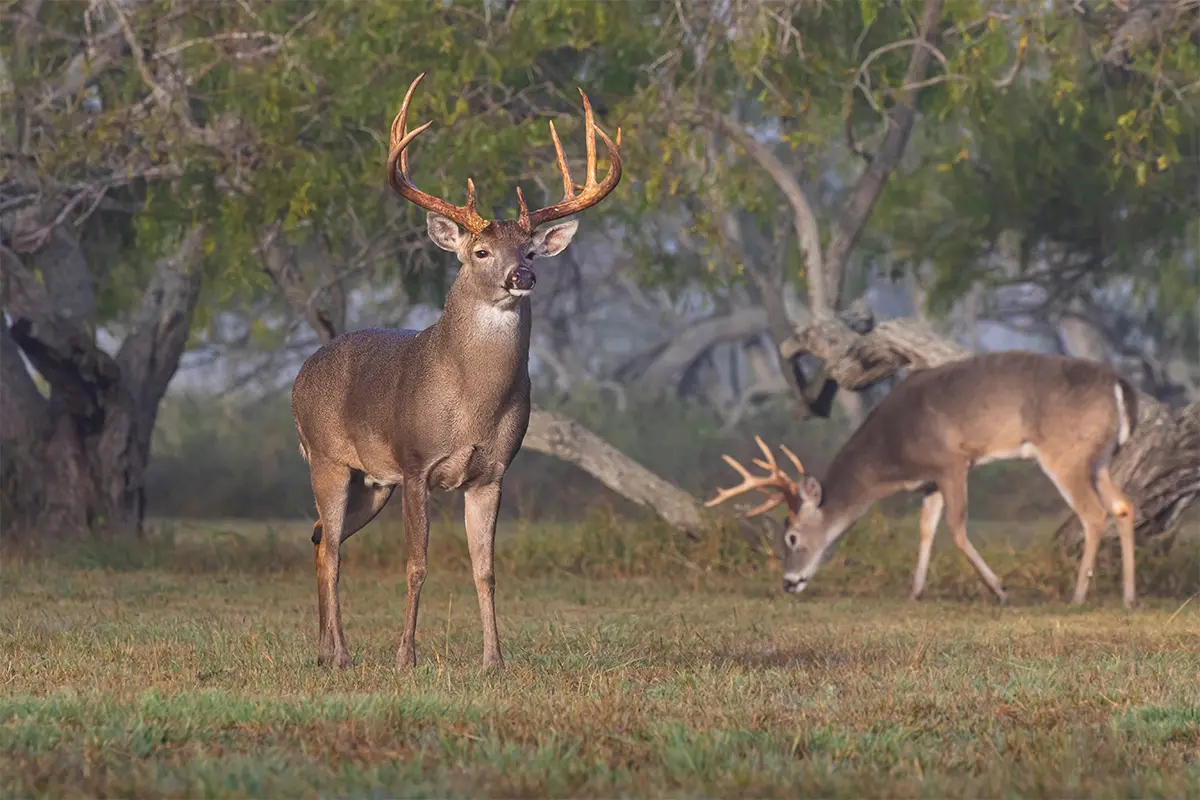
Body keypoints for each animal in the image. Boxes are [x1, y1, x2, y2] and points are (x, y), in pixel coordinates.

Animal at [291, 73, 624, 671]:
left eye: (531, 252)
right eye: (481, 251)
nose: (522, 277)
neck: (470, 403)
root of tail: (299, 376)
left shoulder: (491, 473)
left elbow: (485, 570)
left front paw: (494, 660)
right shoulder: (414, 463)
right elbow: (416, 564)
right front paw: (406, 657)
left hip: (371, 482)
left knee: (321, 540)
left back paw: (327, 651)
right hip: (327, 458)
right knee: (330, 550)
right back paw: (343, 655)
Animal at [705, 352, 1137, 609]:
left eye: (792, 536)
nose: (789, 582)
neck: (894, 453)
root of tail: (1119, 386)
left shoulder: (952, 461)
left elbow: (956, 528)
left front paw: (999, 589)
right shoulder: (929, 481)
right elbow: (926, 528)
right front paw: (915, 591)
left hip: (1065, 453)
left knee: (1094, 514)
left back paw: (1078, 596)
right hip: (1099, 458)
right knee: (1123, 506)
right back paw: (1128, 597)